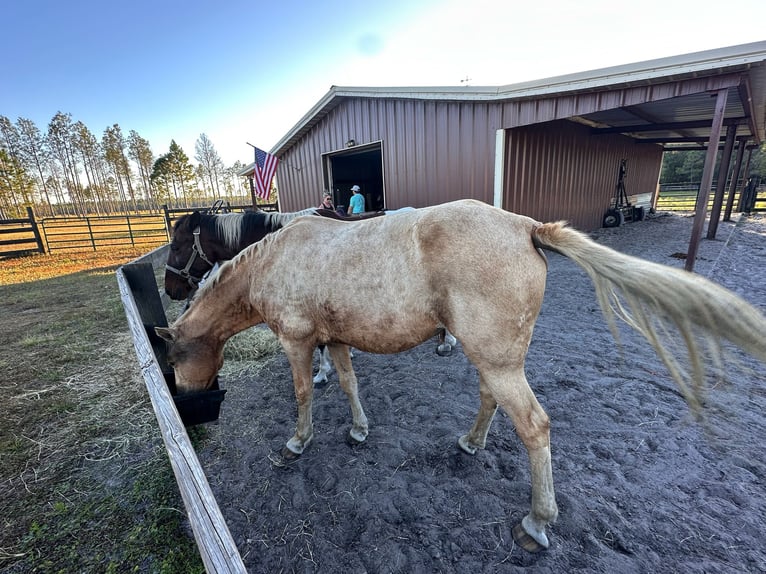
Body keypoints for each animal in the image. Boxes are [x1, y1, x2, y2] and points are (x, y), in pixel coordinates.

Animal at [155, 199, 766, 553]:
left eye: (183, 241)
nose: (190, 399)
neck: (277, 258)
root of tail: (525, 227)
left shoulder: (300, 343)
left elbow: (305, 393)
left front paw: (297, 443)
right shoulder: (338, 340)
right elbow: (349, 384)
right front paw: (358, 429)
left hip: (497, 360)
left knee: (534, 425)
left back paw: (537, 522)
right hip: (492, 356)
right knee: (489, 398)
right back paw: (472, 443)